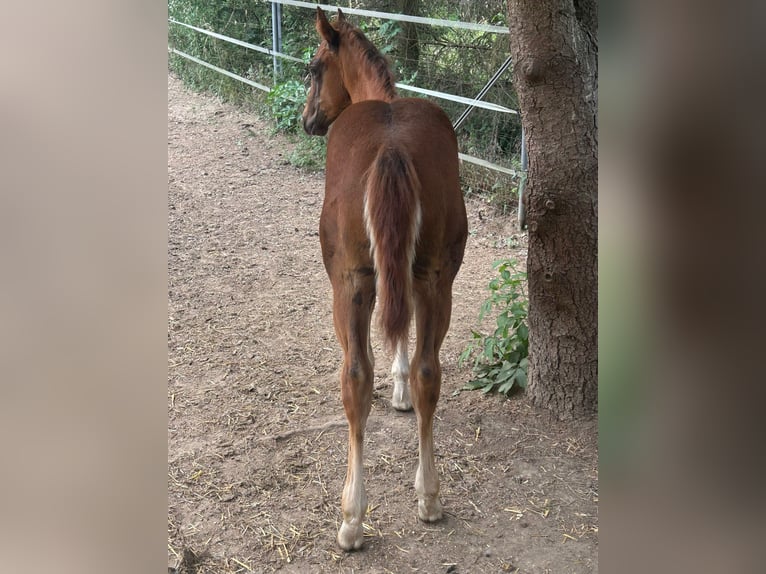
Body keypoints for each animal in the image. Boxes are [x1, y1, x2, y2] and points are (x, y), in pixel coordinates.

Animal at [302, 8, 467, 551]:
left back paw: (351, 518)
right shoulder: (414, 272)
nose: (309, 120)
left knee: (355, 379)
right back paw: (430, 498)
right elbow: (406, 333)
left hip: (350, 283)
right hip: (438, 278)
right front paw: (401, 392)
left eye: (314, 67)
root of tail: (391, 148)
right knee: (429, 371)